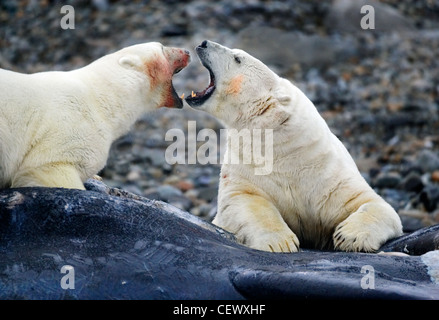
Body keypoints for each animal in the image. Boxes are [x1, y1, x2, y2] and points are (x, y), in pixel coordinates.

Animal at [1, 41, 191, 189]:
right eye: (162, 48)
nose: (187, 51)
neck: (104, 98)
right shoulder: (70, 127)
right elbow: (47, 167)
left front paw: (97, 177)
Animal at [184, 40, 404, 252]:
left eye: (237, 58)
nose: (203, 43)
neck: (284, 149)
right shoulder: (245, 168)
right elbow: (244, 200)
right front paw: (279, 242)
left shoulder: (329, 178)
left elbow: (374, 204)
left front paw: (348, 236)